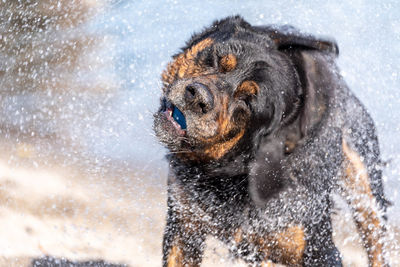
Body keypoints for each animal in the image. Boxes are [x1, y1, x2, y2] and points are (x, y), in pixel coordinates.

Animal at [152, 15, 388, 266]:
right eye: (215, 59)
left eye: (246, 101)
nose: (198, 97)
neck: (236, 177)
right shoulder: (184, 225)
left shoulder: (319, 249)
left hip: (364, 178)